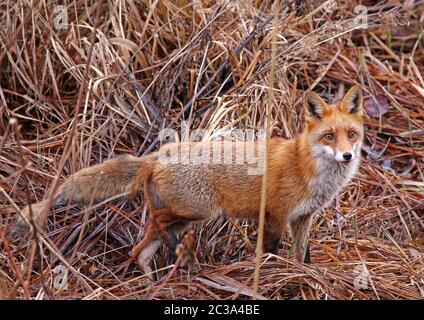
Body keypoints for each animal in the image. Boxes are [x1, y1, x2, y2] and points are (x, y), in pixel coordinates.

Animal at [14, 85, 364, 272]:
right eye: (329, 136)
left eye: (351, 134)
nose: (348, 156)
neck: (307, 169)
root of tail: (160, 154)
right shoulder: (275, 215)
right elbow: (272, 250)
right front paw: (270, 273)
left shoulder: (303, 217)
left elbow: (303, 253)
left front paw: (305, 273)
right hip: (200, 211)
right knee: (157, 223)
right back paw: (181, 261)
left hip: (186, 217)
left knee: (140, 250)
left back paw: (156, 277)